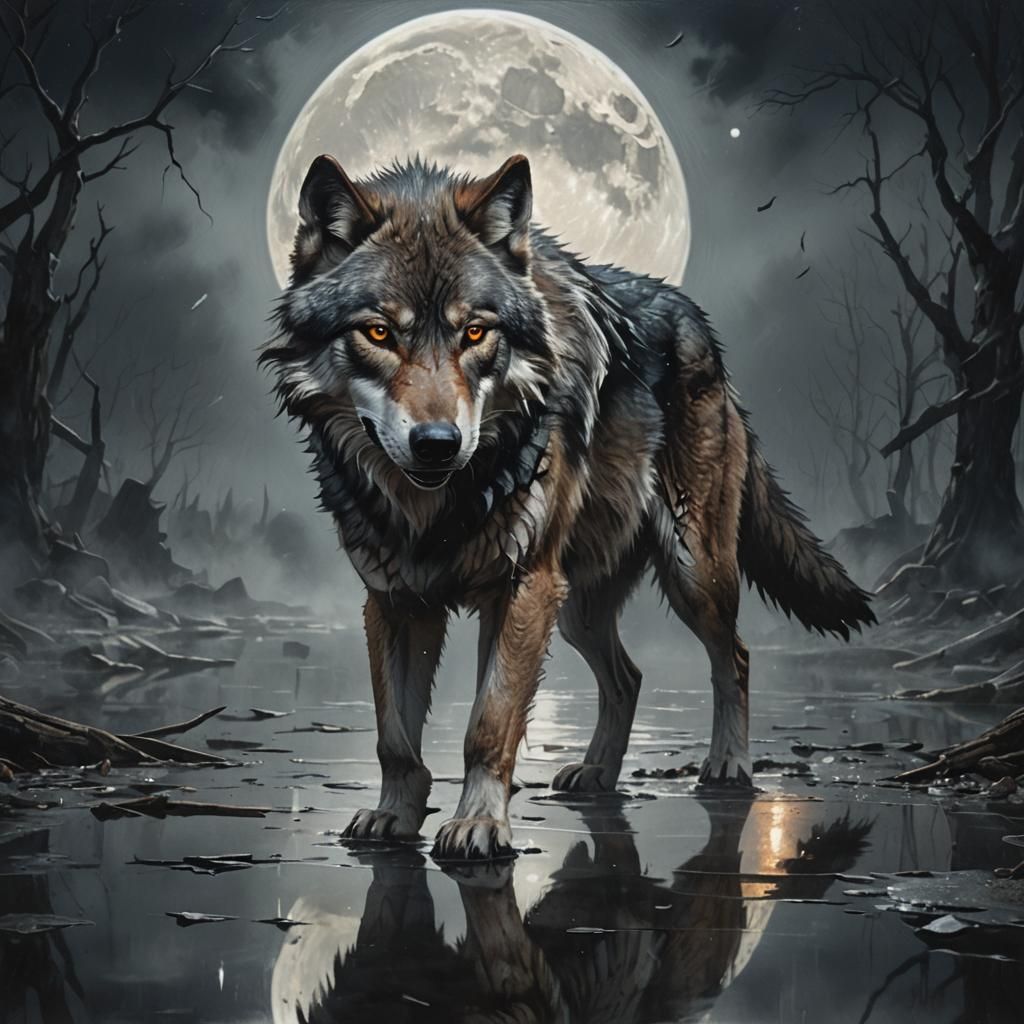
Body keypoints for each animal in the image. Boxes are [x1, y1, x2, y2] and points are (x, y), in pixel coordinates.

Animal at [261, 152, 874, 861]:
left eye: (476, 332)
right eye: (379, 332)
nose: (438, 444)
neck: (434, 510)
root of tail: (700, 326)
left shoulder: (523, 587)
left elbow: (488, 722)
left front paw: (478, 825)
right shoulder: (394, 600)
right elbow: (395, 736)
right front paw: (394, 816)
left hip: (689, 573)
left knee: (737, 659)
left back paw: (727, 766)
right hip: (578, 605)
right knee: (628, 677)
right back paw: (598, 772)